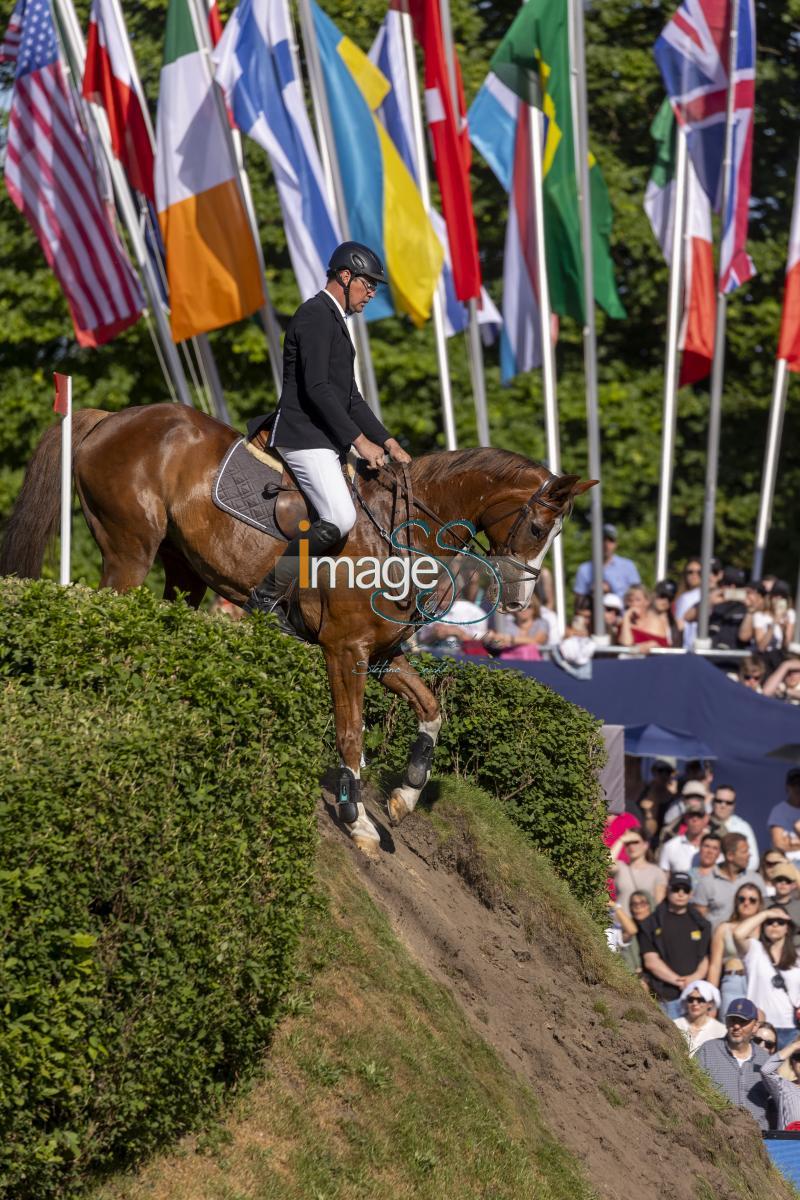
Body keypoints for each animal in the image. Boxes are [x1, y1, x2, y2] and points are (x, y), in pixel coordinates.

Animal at [1, 408, 594, 859]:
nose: (517, 603)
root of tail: (114, 417)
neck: (397, 535)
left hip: (183, 570)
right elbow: (351, 734)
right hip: (130, 551)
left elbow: (431, 709)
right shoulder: (345, 651)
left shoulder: (383, 655)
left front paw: (405, 794)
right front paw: (356, 820)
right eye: (538, 528)